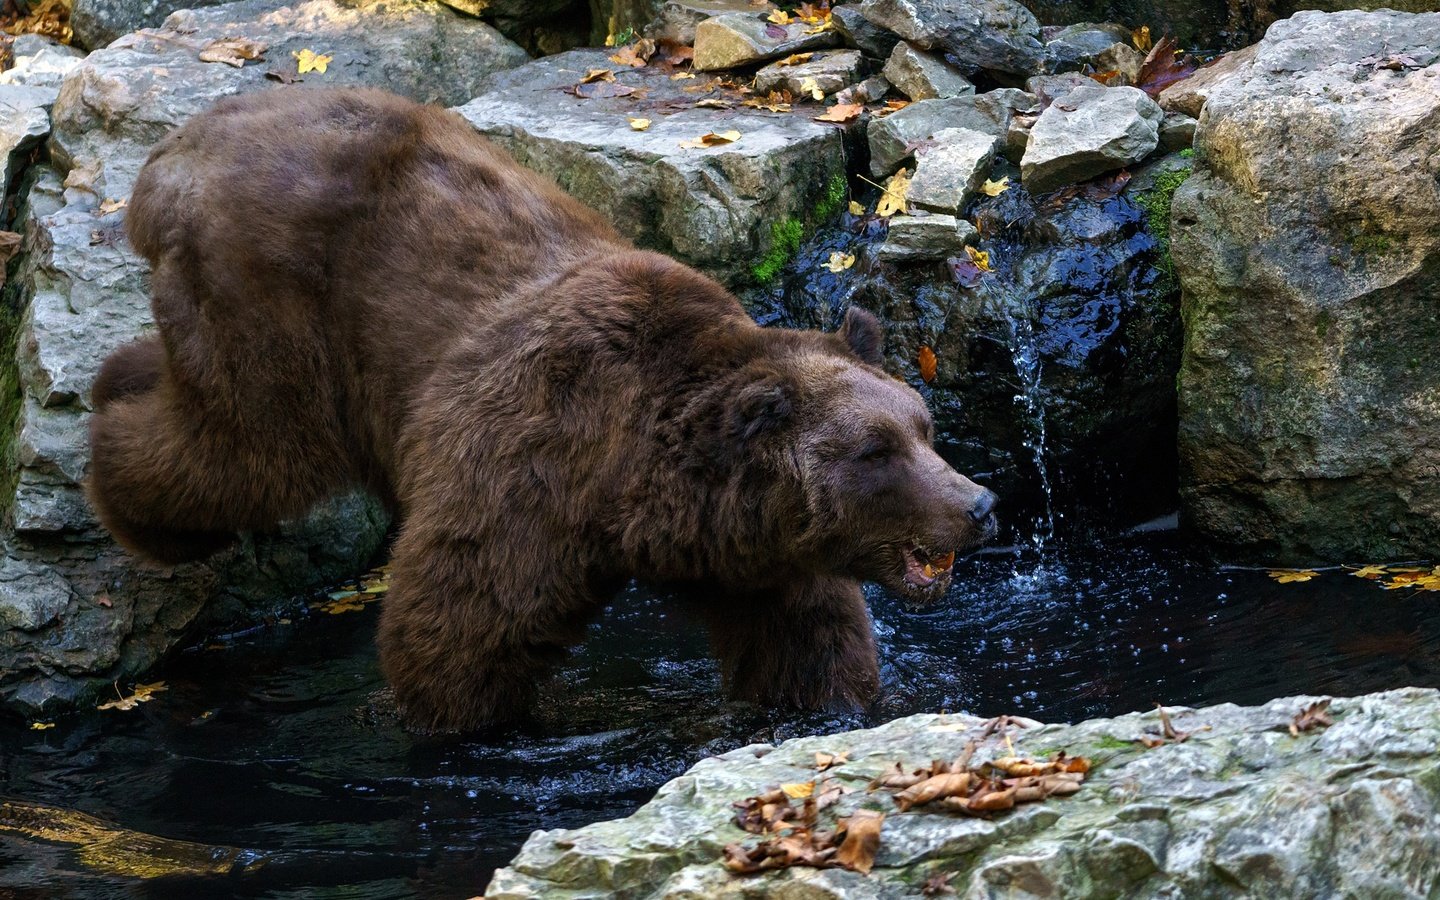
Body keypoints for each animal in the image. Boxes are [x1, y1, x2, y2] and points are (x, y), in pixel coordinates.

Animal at [84, 86, 996, 731]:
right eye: (876, 451)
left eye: (924, 429)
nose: (980, 503)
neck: (635, 481)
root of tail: (171, 152)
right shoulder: (528, 464)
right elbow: (461, 627)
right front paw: (462, 719)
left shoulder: (752, 552)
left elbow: (807, 640)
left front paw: (829, 702)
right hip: (282, 310)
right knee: (241, 451)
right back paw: (138, 495)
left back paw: (119, 376)